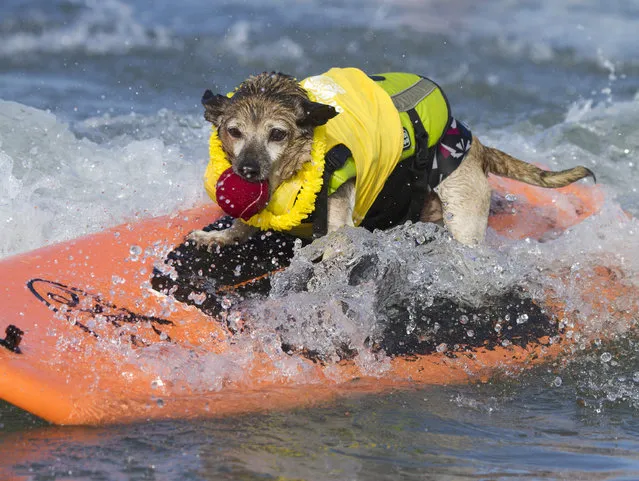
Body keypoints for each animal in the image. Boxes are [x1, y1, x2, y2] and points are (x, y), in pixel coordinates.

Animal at [186, 68, 596, 248]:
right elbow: (242, 226)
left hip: (462, 213)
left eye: (277, 134)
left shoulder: (336, 218)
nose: (247, 170)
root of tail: (475, 145)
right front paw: (217, 237)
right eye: (234, 131)